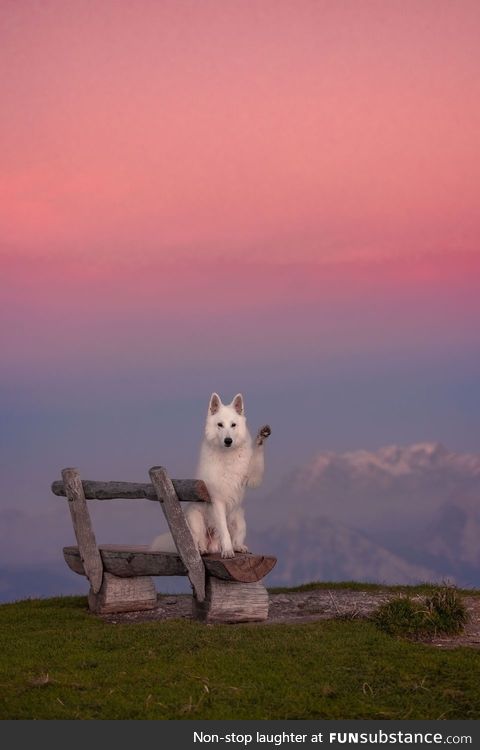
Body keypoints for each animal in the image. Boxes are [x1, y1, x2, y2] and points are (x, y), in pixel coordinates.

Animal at [150, 394, 270, 560]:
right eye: (220, 425)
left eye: (233, 425)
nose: (228, 441)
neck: (227, 456)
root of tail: (214, 545)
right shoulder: (217, 501)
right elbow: (224, 531)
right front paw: (227, 551)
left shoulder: (253, 479)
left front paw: (261, 437)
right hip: (195, 519)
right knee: (197, 541)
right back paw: (203, 550)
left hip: (240, 519)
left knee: (236, 538)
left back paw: (239, 547)